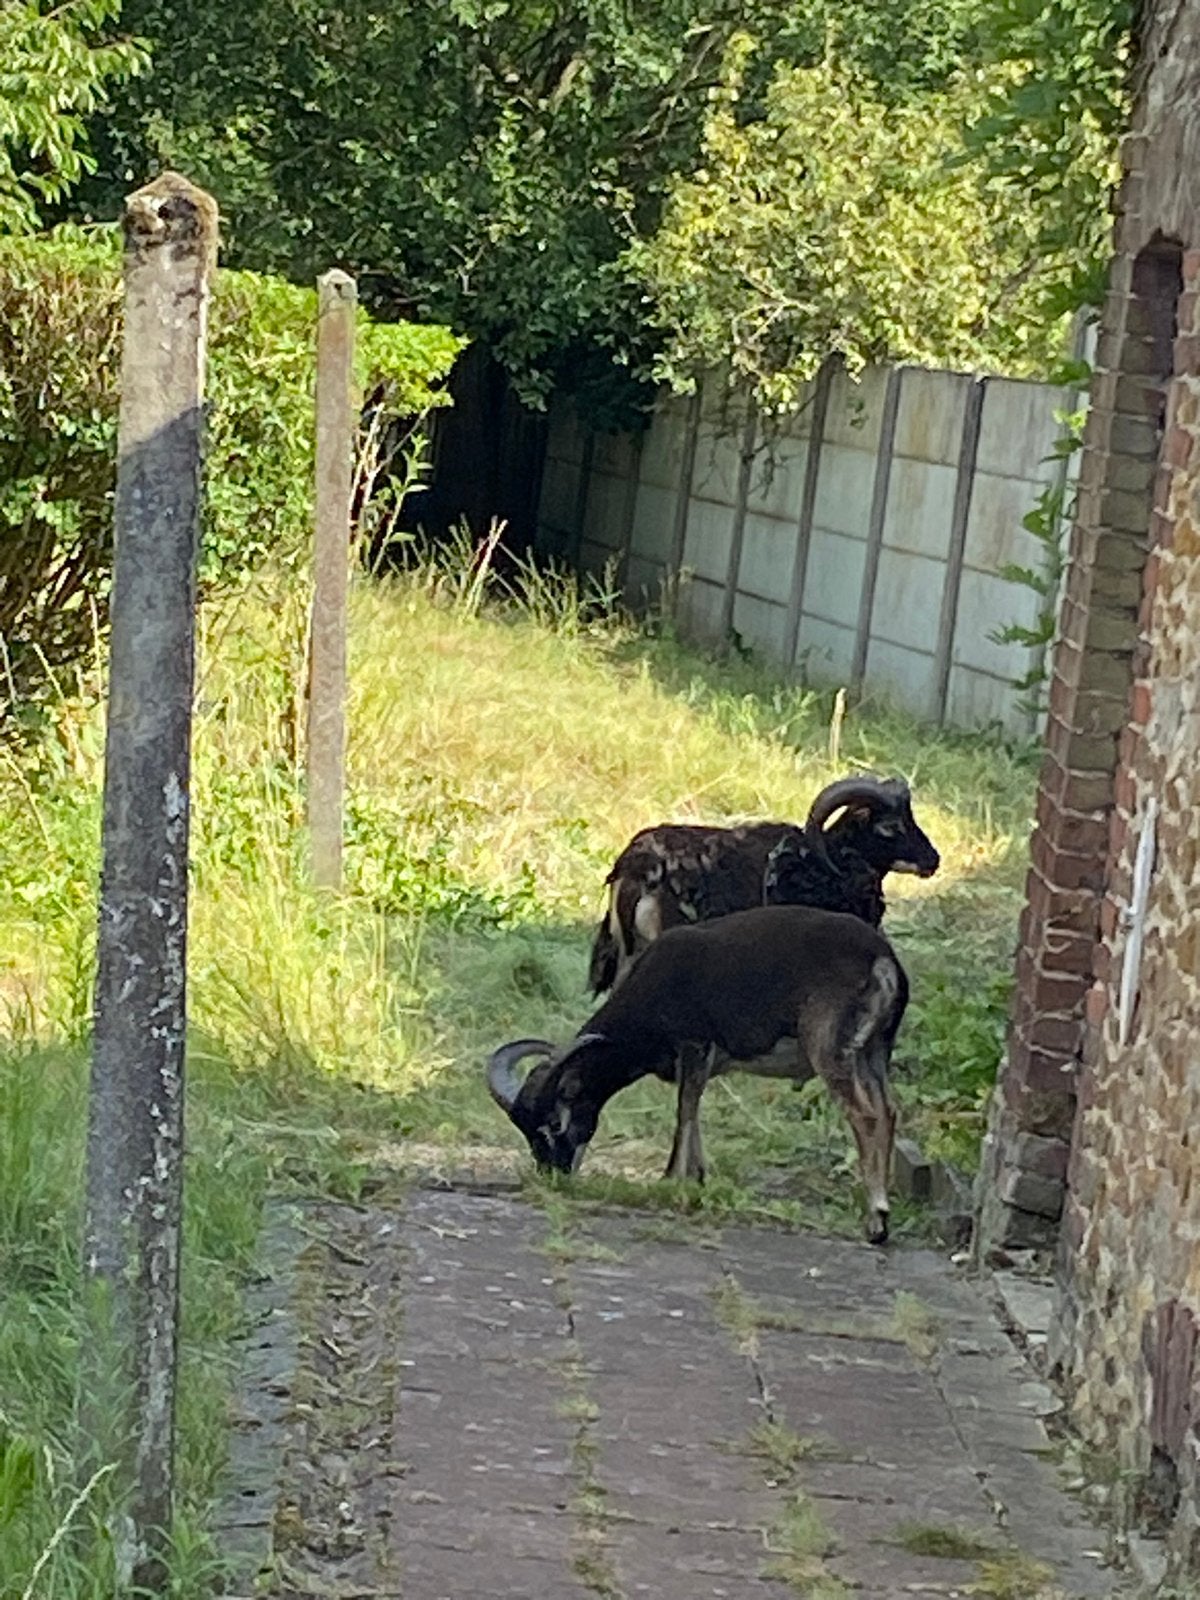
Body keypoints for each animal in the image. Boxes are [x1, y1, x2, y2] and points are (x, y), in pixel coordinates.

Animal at [488, 904, 909, 1244]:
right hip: (873, 1052)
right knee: (887, 1110)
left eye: (553, 1125)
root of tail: (881, 960)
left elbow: (684, 1110)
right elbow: (694, 1108)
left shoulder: (693, 1046)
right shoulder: (702, 1062)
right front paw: (698, 1178)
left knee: (865, 1115)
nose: (553, 1175)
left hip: (831, 1050)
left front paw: (671, 1180)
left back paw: (876, 1220)